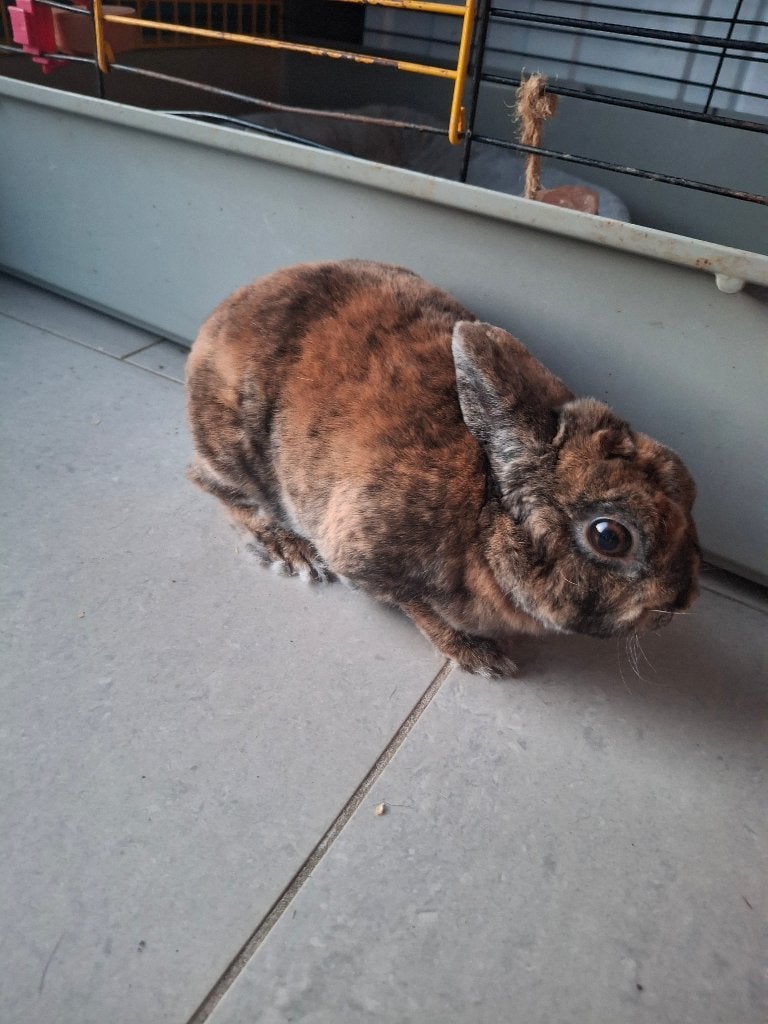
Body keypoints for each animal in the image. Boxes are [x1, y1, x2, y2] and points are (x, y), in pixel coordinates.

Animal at [185, 259, 700, 678]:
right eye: (609, 537)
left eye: (689, 484)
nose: (682, 600)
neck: (481, 511)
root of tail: (218, 315)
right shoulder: (364, 555)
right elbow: (417, 606)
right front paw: (480, 656)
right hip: (235, 446)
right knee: (212, 485)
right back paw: (291, 551)